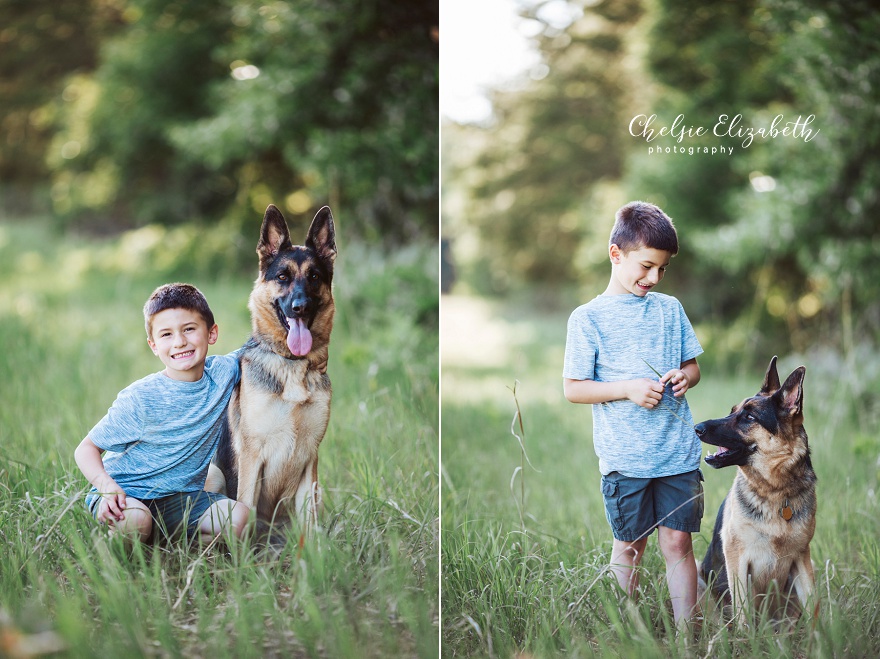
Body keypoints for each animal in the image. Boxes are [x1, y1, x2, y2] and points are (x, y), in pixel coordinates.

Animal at [206, 205, 336, 532]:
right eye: (282, 276)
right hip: (214, 473)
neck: (292, 364)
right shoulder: (253, 457)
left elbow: (309, 528)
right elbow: (246, 510)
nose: (301, 307)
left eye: (314, 276)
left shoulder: (310, 461)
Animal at [696, 358, 816, 620]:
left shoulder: (802, 558)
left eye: (749, 417)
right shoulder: (737, 560)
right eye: (732, 411)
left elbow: (816, 609)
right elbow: (742, 614)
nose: (697, 427)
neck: (775, 490)